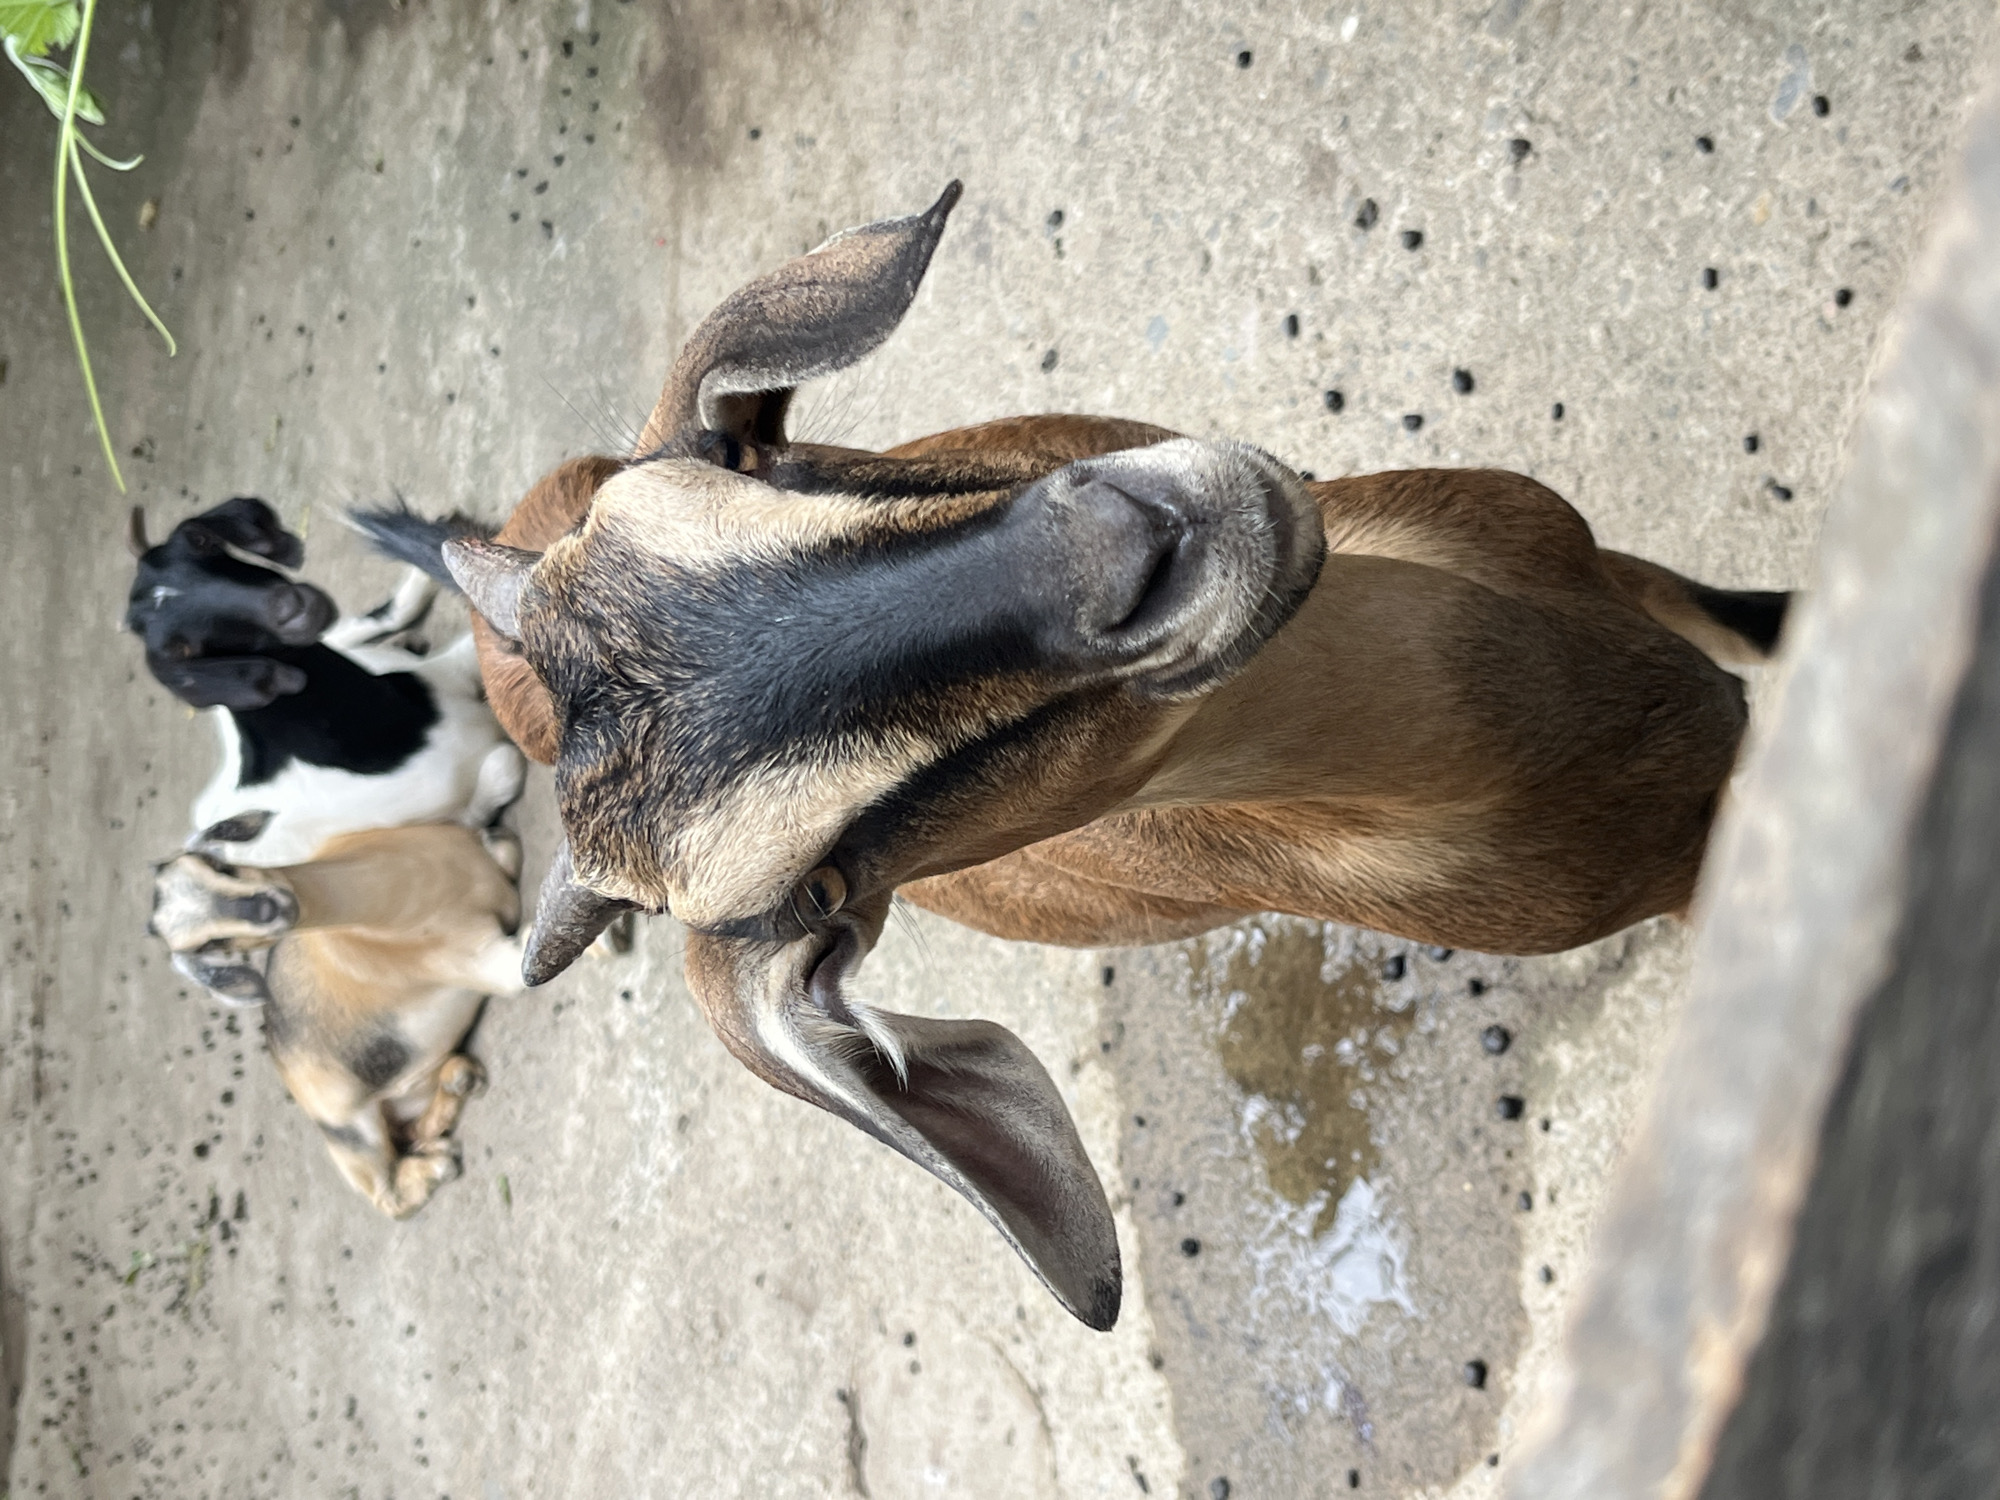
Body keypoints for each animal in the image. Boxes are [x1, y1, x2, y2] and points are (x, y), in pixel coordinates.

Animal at [149, 816, 524, 1217]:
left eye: (216, 864)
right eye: (209, 944)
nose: (265, 908)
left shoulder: (490, 846)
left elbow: (504, 842)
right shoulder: (492, 964)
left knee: (418, 1130)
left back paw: (458, 1084)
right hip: (350, 1131)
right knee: (388, 1197)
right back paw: (438, 1164)